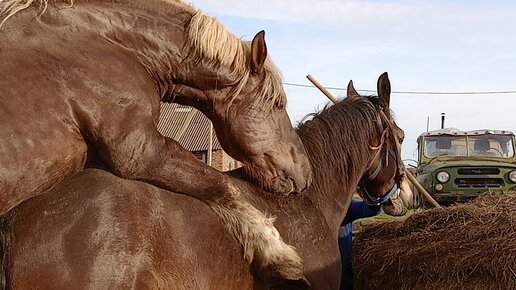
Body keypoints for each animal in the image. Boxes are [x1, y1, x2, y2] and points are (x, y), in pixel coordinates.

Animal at [1, 0, 314, 284]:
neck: (113, 47)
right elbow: (221, 185)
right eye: (278, 104)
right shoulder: (139, 151)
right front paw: (279, 256)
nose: (306, 173)